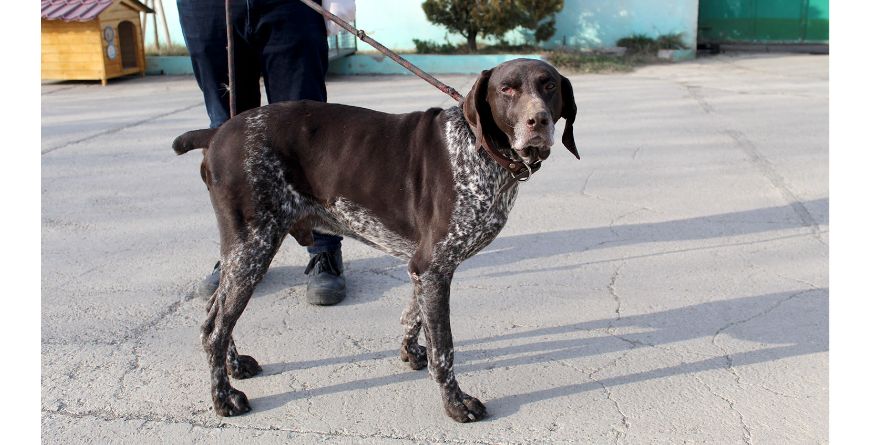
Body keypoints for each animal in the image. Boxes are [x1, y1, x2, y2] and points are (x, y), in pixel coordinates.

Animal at [173, 57, 584, 422]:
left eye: (549, 85)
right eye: (506, 89)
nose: (539, 121)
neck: (478, 148)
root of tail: (218, 133)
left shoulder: (425, 268)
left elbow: (413, 317)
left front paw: (411, 353)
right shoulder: (434, 267)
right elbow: (445, 350)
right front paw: (456, 404)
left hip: (243, 252)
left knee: (214, 312)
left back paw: (234, 365)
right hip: (253, 246)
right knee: (214, 329)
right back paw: (223, 398)